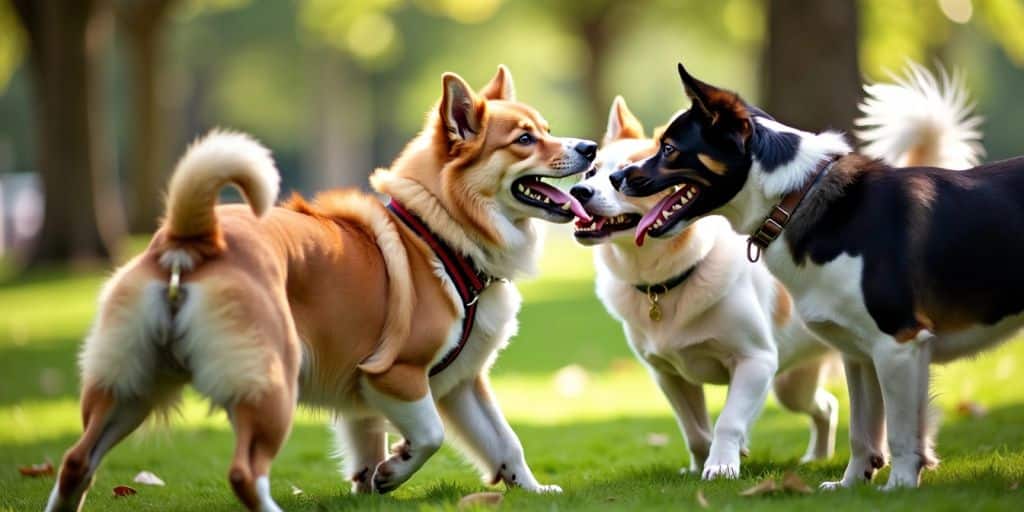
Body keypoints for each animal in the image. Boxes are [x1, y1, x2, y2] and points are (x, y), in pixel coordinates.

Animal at [48, 66, 593, 509]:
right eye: (525, 139)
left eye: (546, 130)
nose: (590, 148)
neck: (440, 233)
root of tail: (191, 236)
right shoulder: (396, 374)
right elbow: (430, 436)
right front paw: (394, 469)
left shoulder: (457, 383)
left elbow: (504, 443)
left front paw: (533, 490)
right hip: (269, 386)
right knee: (244, 472)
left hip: (131, 386)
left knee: (76, 461)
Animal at [573, 96, 835, 479]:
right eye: (591, 173)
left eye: (618, 176)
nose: (578, 191)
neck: (666, 280)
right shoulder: (669, 375)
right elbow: (695, 432)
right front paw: (702, 464)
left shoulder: (756, 361)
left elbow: (728, 421)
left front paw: (723, 464)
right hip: (793, 385)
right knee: (826, 406)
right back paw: (817, 457)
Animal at [610, 61, 1003, 489]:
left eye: (668, 149)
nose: (616, 178)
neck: (794, 195)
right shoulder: (863, 352)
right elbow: (863, 430)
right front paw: (852, 485)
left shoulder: (897, 344)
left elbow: (900, 431)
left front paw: (899, 486)